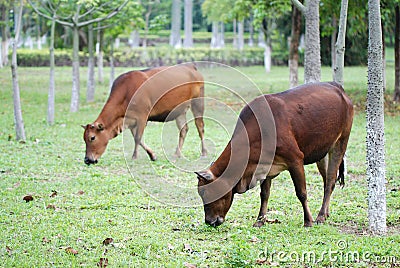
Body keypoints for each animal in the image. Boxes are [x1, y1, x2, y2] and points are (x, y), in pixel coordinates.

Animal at [195, 81, 354, 226]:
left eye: (204, 192)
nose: (209, 221)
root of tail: (338, 87)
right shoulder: (265, 166)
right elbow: (264, 194)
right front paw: (259, 221)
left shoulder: (296, 159)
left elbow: (301, 193)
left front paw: (308, 221)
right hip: (322, 153)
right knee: (326, 179)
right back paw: (325, 213)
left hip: (341, 142)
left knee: (330, 181)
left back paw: (320, 216)